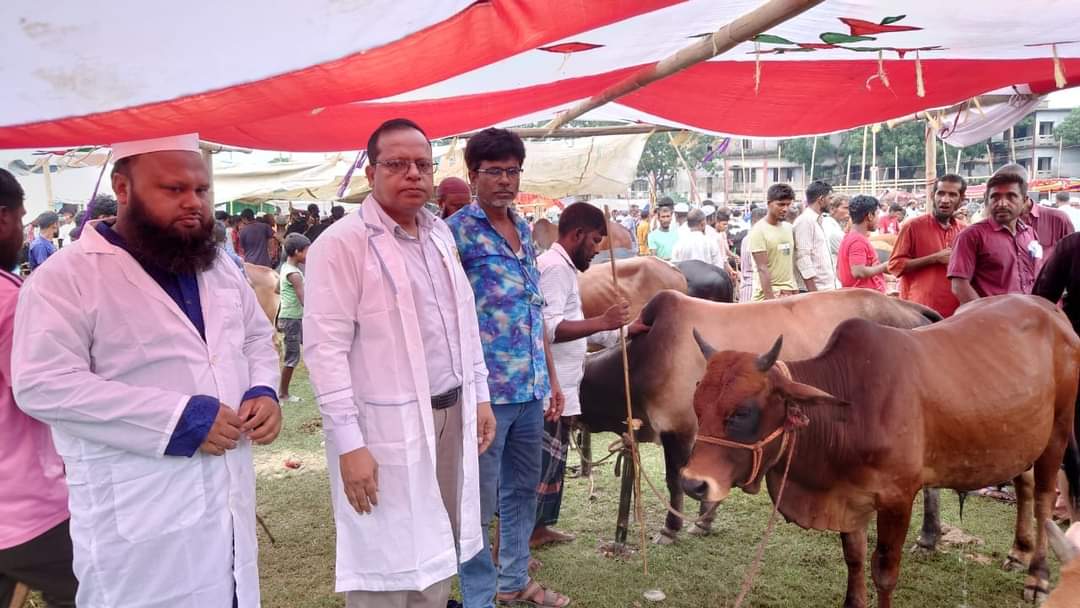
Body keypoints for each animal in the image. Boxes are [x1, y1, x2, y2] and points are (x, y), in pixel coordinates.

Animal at [578, 288, 942, 543]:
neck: (637, 363)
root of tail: (913, 309)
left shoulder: (677, 428)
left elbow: (675, 480)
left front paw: (672, 529)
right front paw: (704, 521)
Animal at [680, 294, 1079, 606]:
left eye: (743, 412)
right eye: (697, 406)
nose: (692, 484)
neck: (849, 409)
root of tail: (1052, 311)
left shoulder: (897, 498)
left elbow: (884, 572)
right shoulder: (848, 496)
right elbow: (854, 558)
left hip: (1057, 434)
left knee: (1044, 499)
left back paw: (1037, 577)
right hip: (1018, 437)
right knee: (1025, 484)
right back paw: (1017, 552)